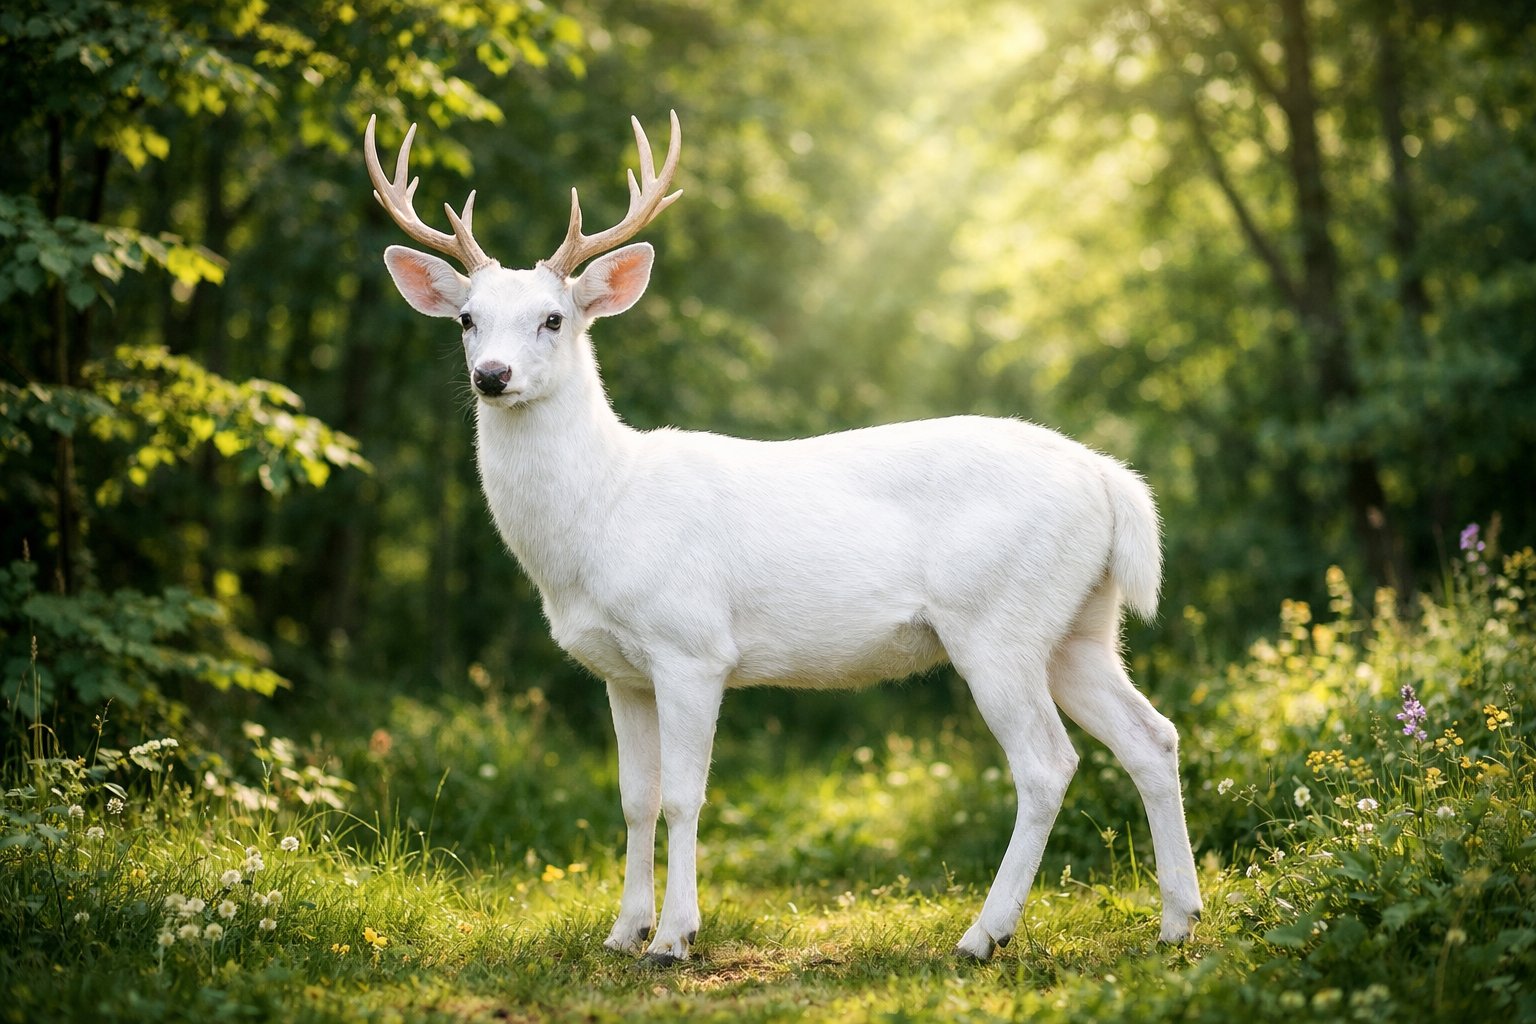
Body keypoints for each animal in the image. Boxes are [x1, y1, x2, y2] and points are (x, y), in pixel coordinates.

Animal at [363, 110, 1203, 964]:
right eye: (467, 319)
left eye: (553, 318)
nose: (492, 376)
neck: (602, 514)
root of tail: (1110, 480)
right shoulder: (620, 671)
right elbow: (635, 799)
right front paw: (622, 932)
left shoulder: (692, 645)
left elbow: (684, 796)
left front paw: (674, 937)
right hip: (1079, 625)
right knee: (1152, 736)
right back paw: (1178, 919)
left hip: (998, 620)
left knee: (1046, 762)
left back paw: (983, 935)